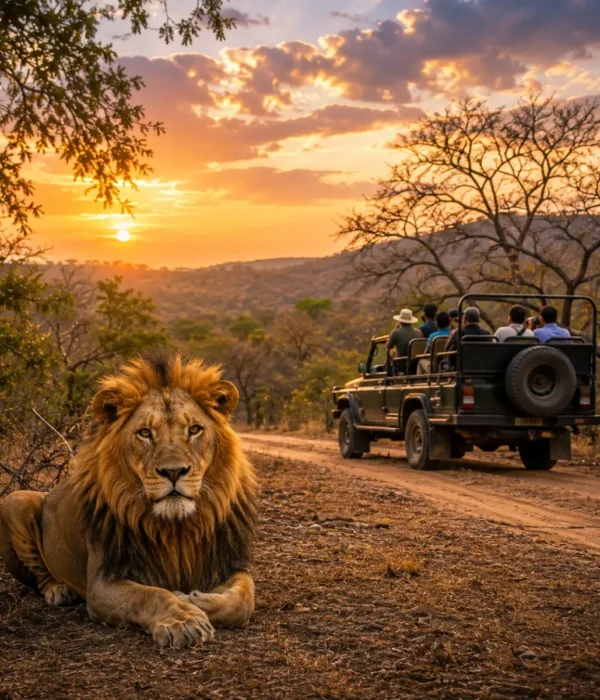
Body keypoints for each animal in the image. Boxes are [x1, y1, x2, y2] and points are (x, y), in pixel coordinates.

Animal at [0, 353, 257, 648]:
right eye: (145, 433)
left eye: (194, 430)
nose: (173, 472)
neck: (177, 529)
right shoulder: (102, 583)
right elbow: (149, 595)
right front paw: (183, 620)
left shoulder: (229, 562)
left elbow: (244, 598)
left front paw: (192, 598)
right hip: (15, 500)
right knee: (39, 576)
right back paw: (59, 590)